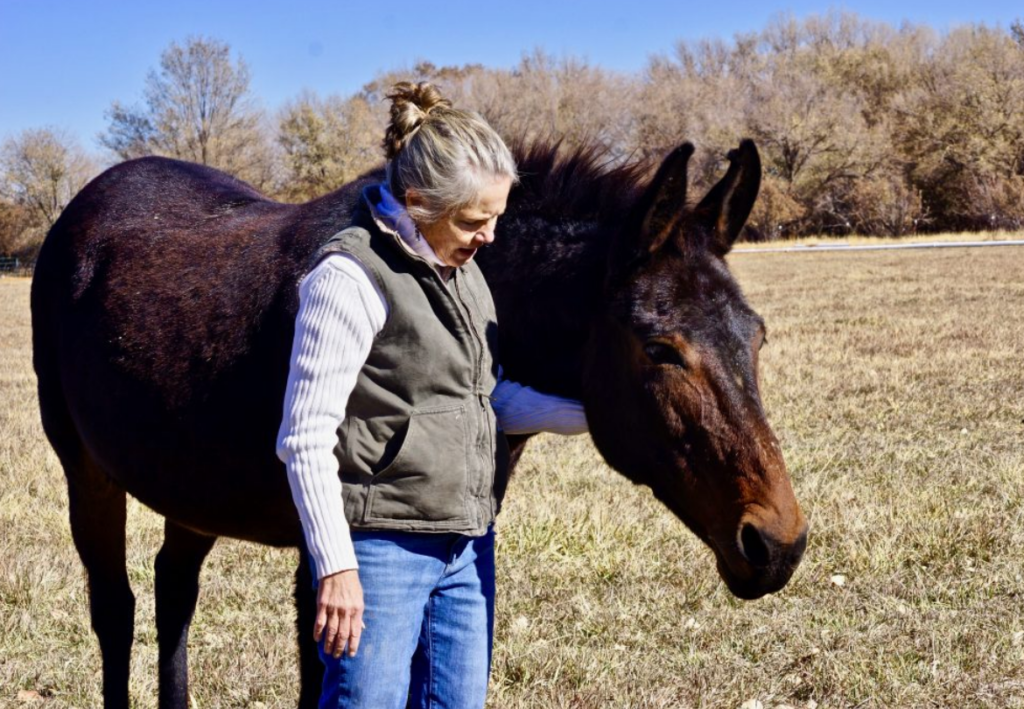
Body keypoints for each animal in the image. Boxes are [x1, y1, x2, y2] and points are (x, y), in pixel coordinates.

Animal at [29, 135, 806, 704]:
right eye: (660, 347)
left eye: (758, 336)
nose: (778, 543)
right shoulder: (329, 561)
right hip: (88, 474)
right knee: (116, 608)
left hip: (190, 486)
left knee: (173, 591)